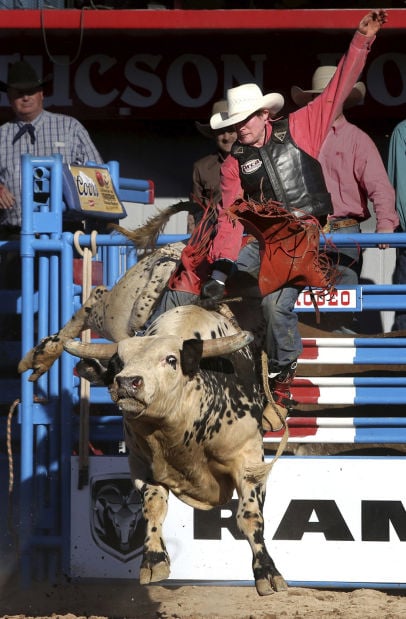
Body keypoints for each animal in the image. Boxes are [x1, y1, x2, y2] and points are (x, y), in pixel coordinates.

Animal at [63, 306, 288, 596]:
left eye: (171, 359)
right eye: (116, 364)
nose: (128, 382)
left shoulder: (248, 460)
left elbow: (249, 516)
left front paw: (267, 573)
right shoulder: (142, 466)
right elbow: (153, 508)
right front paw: (154, 560)